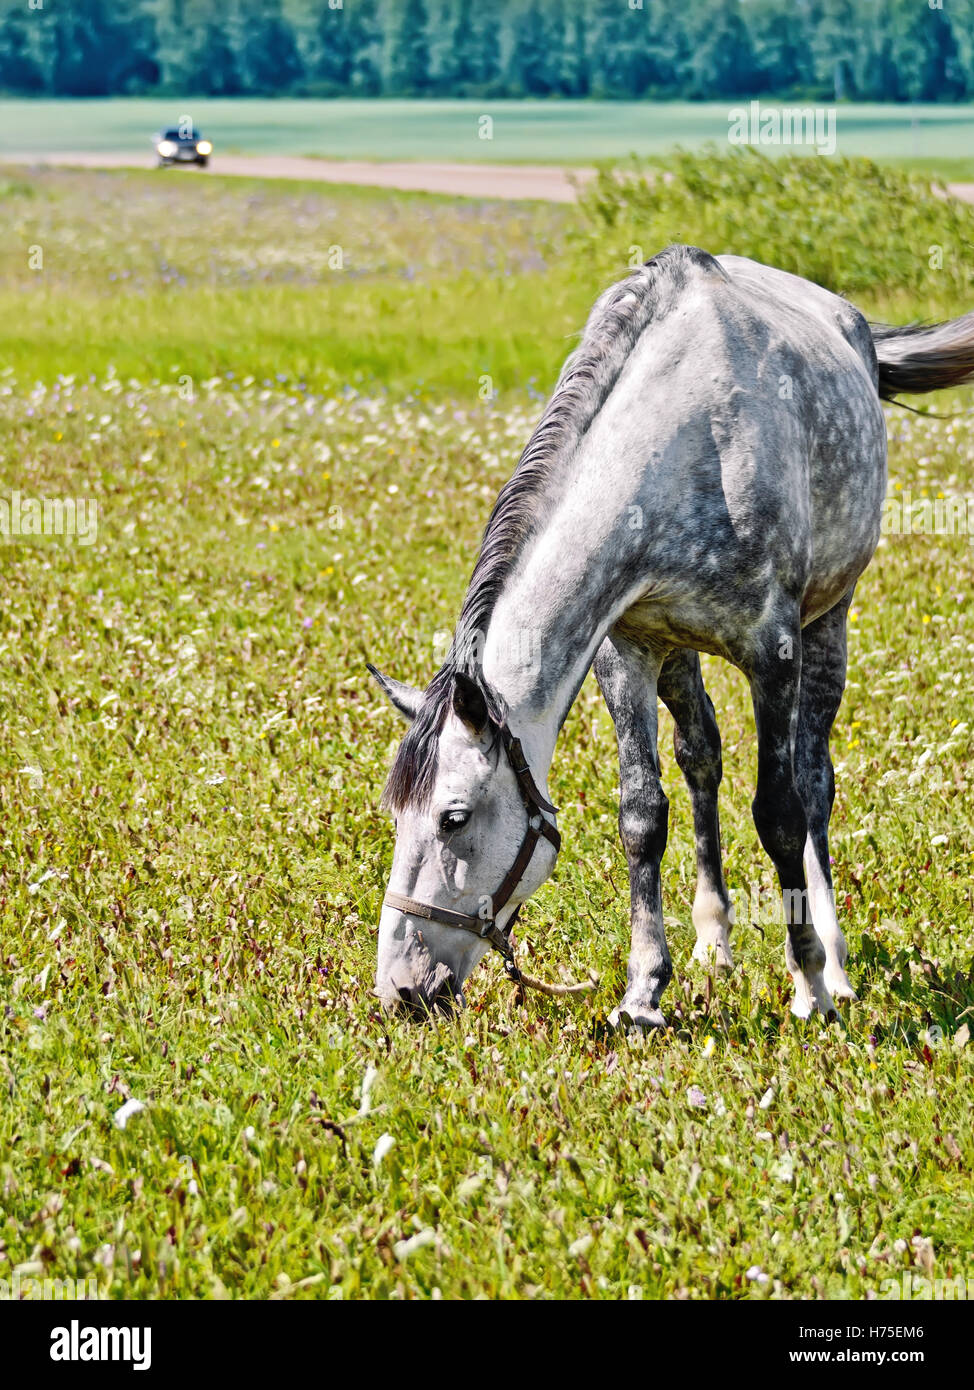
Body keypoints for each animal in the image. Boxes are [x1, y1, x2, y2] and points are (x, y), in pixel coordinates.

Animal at [369, 247, 972, 1034]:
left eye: (454, 817)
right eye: (396, 816)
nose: (400, 989)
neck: (686, 444)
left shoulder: (773, 651)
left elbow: (780, 812)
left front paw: (807, 982)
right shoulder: (626, 653)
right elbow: (642, 816)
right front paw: (644, 991)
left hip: (828, 623)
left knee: (814, 780)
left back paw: (836, 966)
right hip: (679, 652)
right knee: (701, 758)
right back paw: (715, 943)